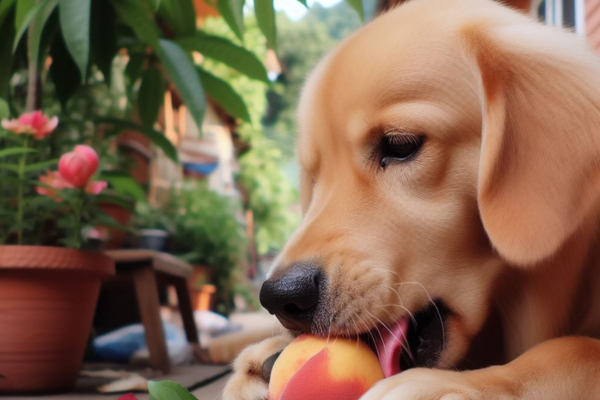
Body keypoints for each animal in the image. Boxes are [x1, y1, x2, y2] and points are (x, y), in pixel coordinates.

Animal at [223, 0, 600, 398]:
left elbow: (578, 347)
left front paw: (451, 386)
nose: (279, 297)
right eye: (315, 176)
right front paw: (268, 357)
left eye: (400, 145)